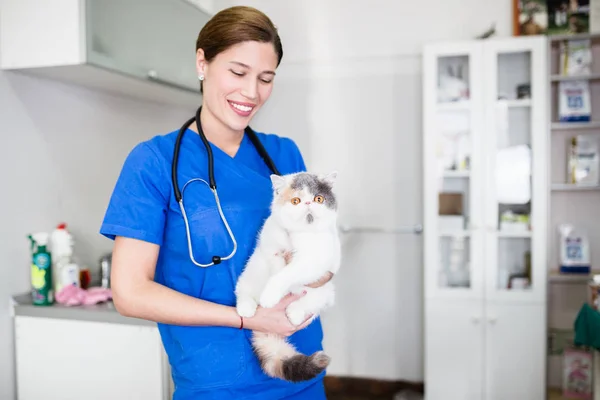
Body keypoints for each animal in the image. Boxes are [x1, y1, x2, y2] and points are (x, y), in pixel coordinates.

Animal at [236, 170, 340, 382]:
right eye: (295, 200)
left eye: (318, 198)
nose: (307, 203)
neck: (300, 235)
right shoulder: (270, 247)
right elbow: (276, 266)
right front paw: (271, 296)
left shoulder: (317, 260)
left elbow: (288, 273)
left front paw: (273, 295)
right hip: (251, 271)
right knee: (243, 291)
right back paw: (247, 307)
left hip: (326, 292)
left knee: (314, 304)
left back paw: (295, 310)